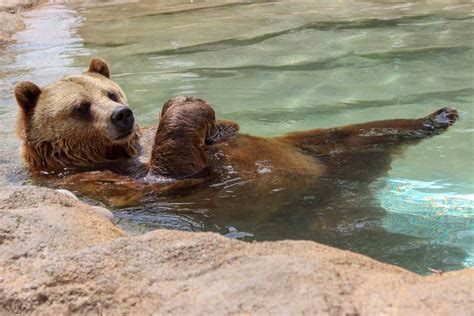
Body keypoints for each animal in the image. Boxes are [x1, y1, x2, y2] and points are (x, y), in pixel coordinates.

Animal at [15, 57, 460, 212]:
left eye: (110, 93)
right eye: (81, 107)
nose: (123, 115)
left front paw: (214, 123)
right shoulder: (91, 180)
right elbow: (169, 178)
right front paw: (189, 106)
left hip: (320, 148)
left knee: (351, 133)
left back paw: (437, 116)